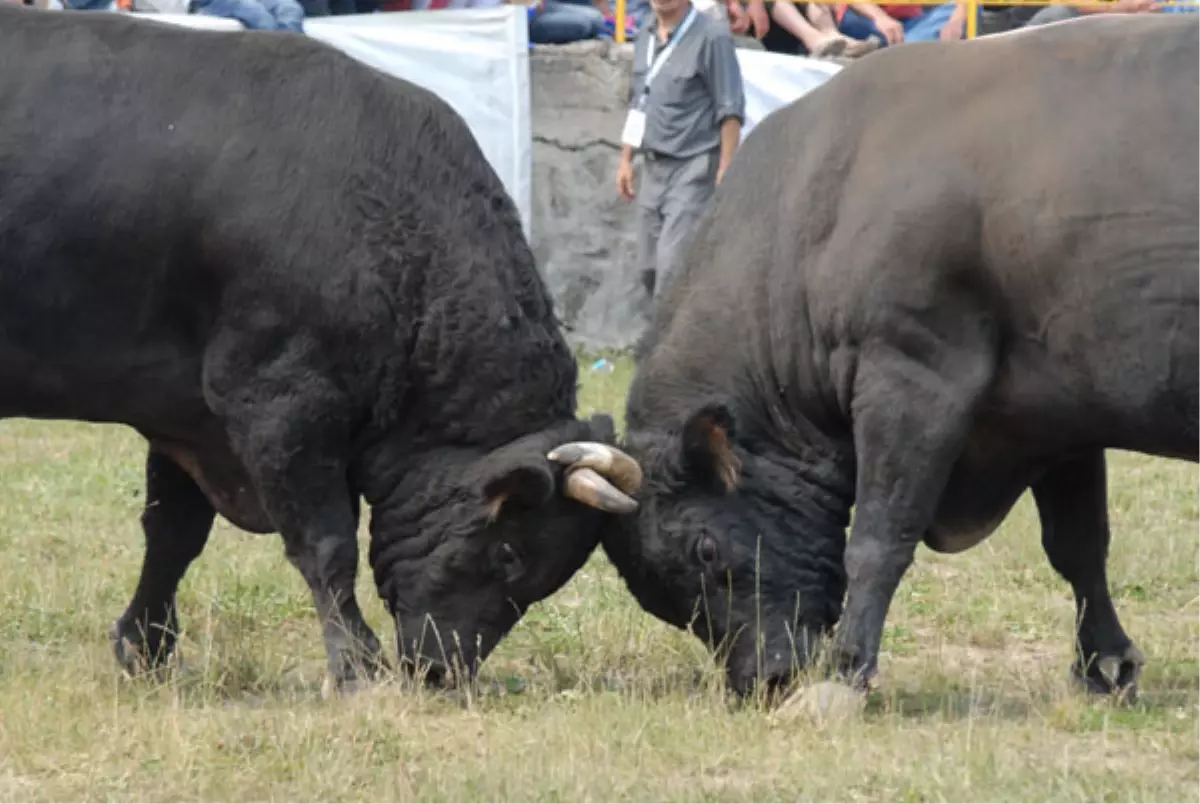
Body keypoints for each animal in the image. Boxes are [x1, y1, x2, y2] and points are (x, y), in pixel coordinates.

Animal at [0, 9, 648, 691]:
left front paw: (146, 647)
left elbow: (173, 533)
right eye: (507, 552)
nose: (442, 669)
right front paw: (358, 666)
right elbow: (326, 543)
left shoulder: (184, 413)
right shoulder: (280, 404)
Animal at [604, 15, 1200, 700]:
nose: (765, 677)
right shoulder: (1060, 409)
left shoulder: (914, 371)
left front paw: (846, 670)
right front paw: (1104, 665)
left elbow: (879, 534)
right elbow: (1078, 544)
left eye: (703, 550)